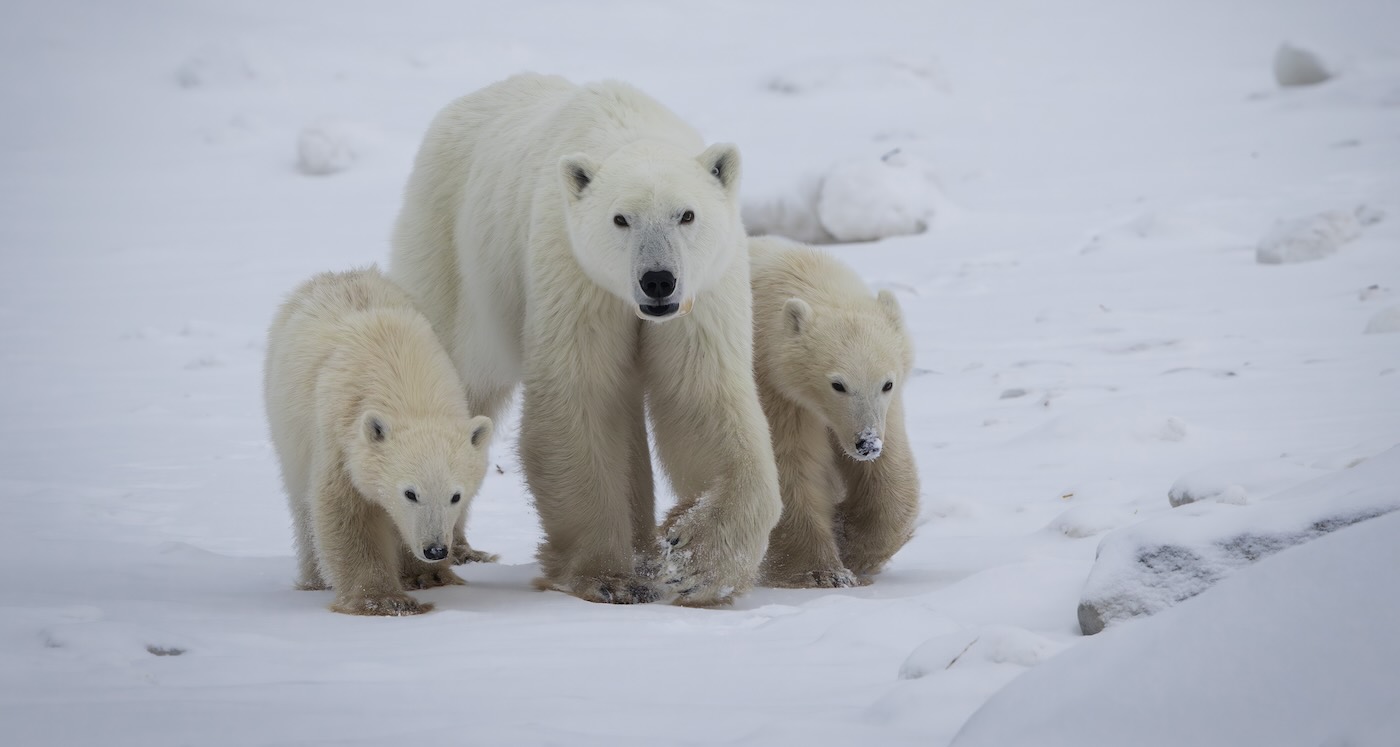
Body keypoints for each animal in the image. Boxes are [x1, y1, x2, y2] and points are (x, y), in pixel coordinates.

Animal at [263, 267, 495, 616]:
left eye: (456, 496)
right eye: (410, 493)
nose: (436, 549)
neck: (408, 386)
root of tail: (340, 274)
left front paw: (428, 576)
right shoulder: (342, 438)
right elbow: (347, 512)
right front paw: (384, 600)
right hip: (287, 425)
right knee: (302, 503)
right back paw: (314, 579)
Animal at [388, 74, 781, 606]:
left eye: (687, 214)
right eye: (620, 218)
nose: (658, 280)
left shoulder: (703, 294)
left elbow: (701, 398)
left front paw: (696, 562)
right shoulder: (575, 274)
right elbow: (581, 401)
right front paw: (608, 578)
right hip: (451, 254)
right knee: (453, 381)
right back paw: (436, 557)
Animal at [747, 236, 920, 588]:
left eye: (887, 383)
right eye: (838, 385)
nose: (866, 444)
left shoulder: (888, 410)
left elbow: (890, 474)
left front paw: (853, 543)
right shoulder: (778, 390)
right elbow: (793, 467)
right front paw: (824, 573)